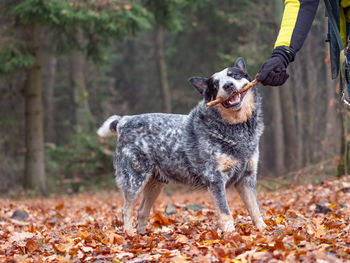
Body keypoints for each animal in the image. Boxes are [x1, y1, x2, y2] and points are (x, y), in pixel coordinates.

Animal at [97, 57, 266, 235]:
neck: (236, 128)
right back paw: (130, 235)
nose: (228, 85)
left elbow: (255, 209)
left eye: (234, 75)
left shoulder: (247, 178)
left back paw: (141, 236)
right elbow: (225, 213)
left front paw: (263, 230)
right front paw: (231, 235)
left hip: (155, 183)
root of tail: (123, 121)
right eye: (215, 84)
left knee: (142, 211)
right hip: (134, 179)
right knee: (126, 210)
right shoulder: (216, 179)